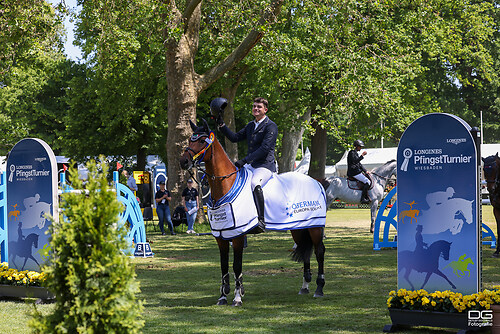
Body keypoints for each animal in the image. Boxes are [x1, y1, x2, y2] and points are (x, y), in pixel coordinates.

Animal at [180, 118, 328, 306]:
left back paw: (319, 288)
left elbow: (236, 265)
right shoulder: (221, 236)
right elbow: (223, 265)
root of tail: (316, 182)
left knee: (319, 251)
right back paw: (305, 286)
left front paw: (237, 297)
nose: (183, 162)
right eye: (189, 140)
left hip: (315, 227)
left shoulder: (237, 235)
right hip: (298, 228)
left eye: (200, 141)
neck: (226, 184)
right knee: (305, 251)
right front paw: (223, 296)